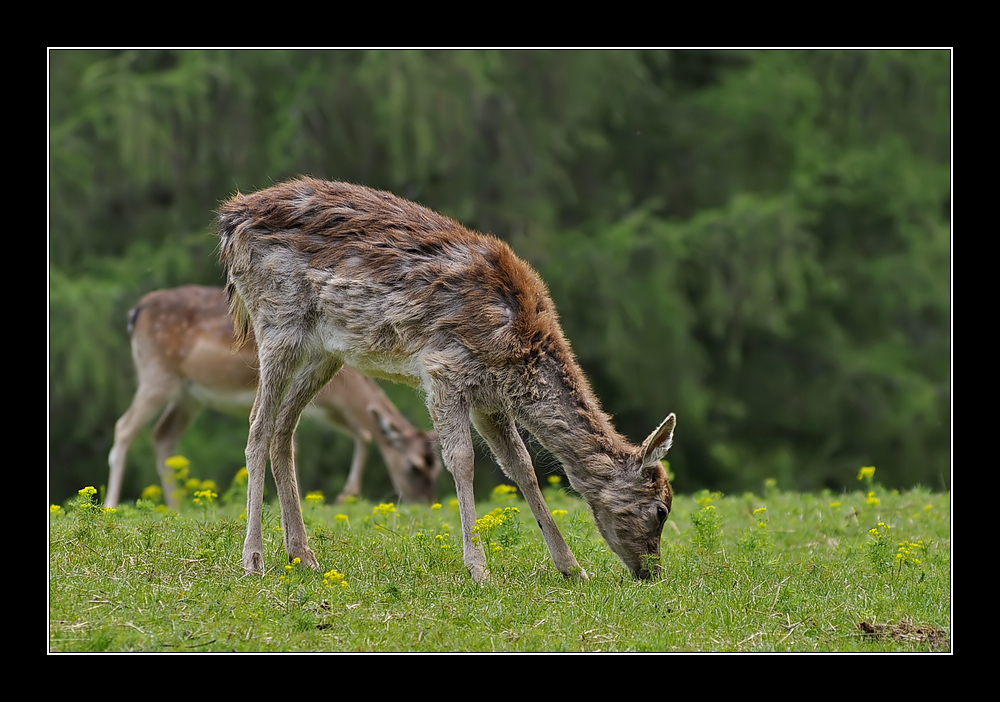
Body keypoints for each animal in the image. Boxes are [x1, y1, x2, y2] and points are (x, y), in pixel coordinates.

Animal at [104, 286, 442, 512]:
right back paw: (110, 504)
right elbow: (299, 444)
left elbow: (362, 433)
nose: (425, 503)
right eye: (414, 467)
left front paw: (345, 494)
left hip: (189, 395)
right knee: (124, 426)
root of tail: (137, 312)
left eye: (436, 467)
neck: (344, 390)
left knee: (163, 435)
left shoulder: (330, 408)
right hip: (156, 375)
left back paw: (176, 507)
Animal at [216, 177, 676, 584]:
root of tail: (230, 218)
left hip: (326, 352)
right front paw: (479, 569)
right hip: (277, 322)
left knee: (284, 429)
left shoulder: (491, 401)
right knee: (258, 426)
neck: (521, 351)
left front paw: (572, 568)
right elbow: (463, 460)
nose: (652, 573)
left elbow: (523, 468)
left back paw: (303, 556)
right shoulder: (444, 370)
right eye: (660, 511)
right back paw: (253, 560)